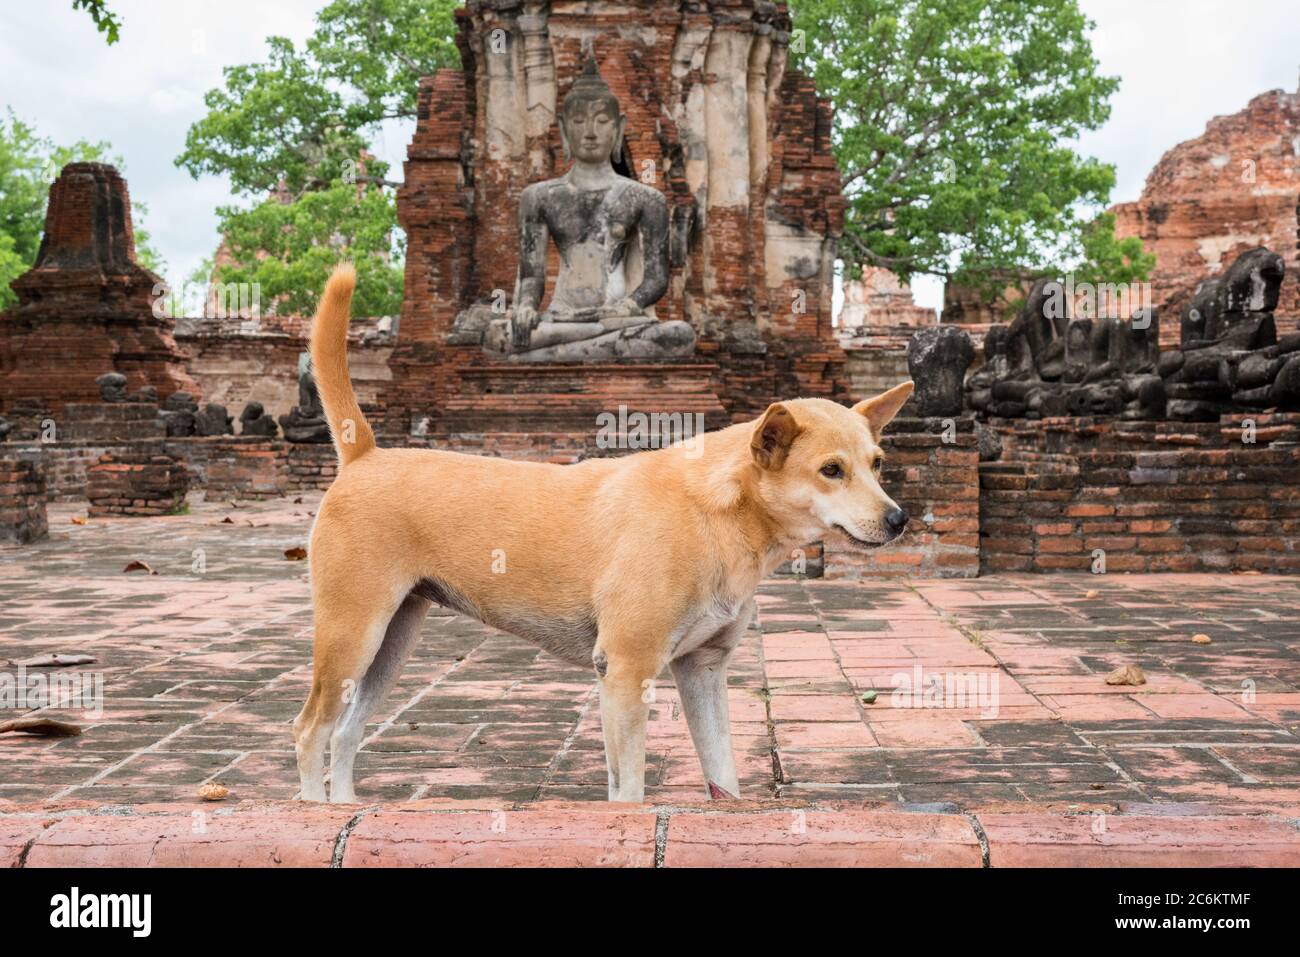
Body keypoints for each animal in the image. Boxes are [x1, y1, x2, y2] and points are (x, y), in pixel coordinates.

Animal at [295, 265, 915, 806]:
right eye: (831, 470)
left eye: (878, 463)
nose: (897, 519)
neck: (717, 515)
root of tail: (365, 454)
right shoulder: (625, 672)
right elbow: (629, 792)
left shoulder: (703, 672)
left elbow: (724, 778)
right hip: (353, 634)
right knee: (309, 732)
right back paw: (315, 810)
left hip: (392, 643)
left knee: (345, 734)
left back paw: (345, 807)